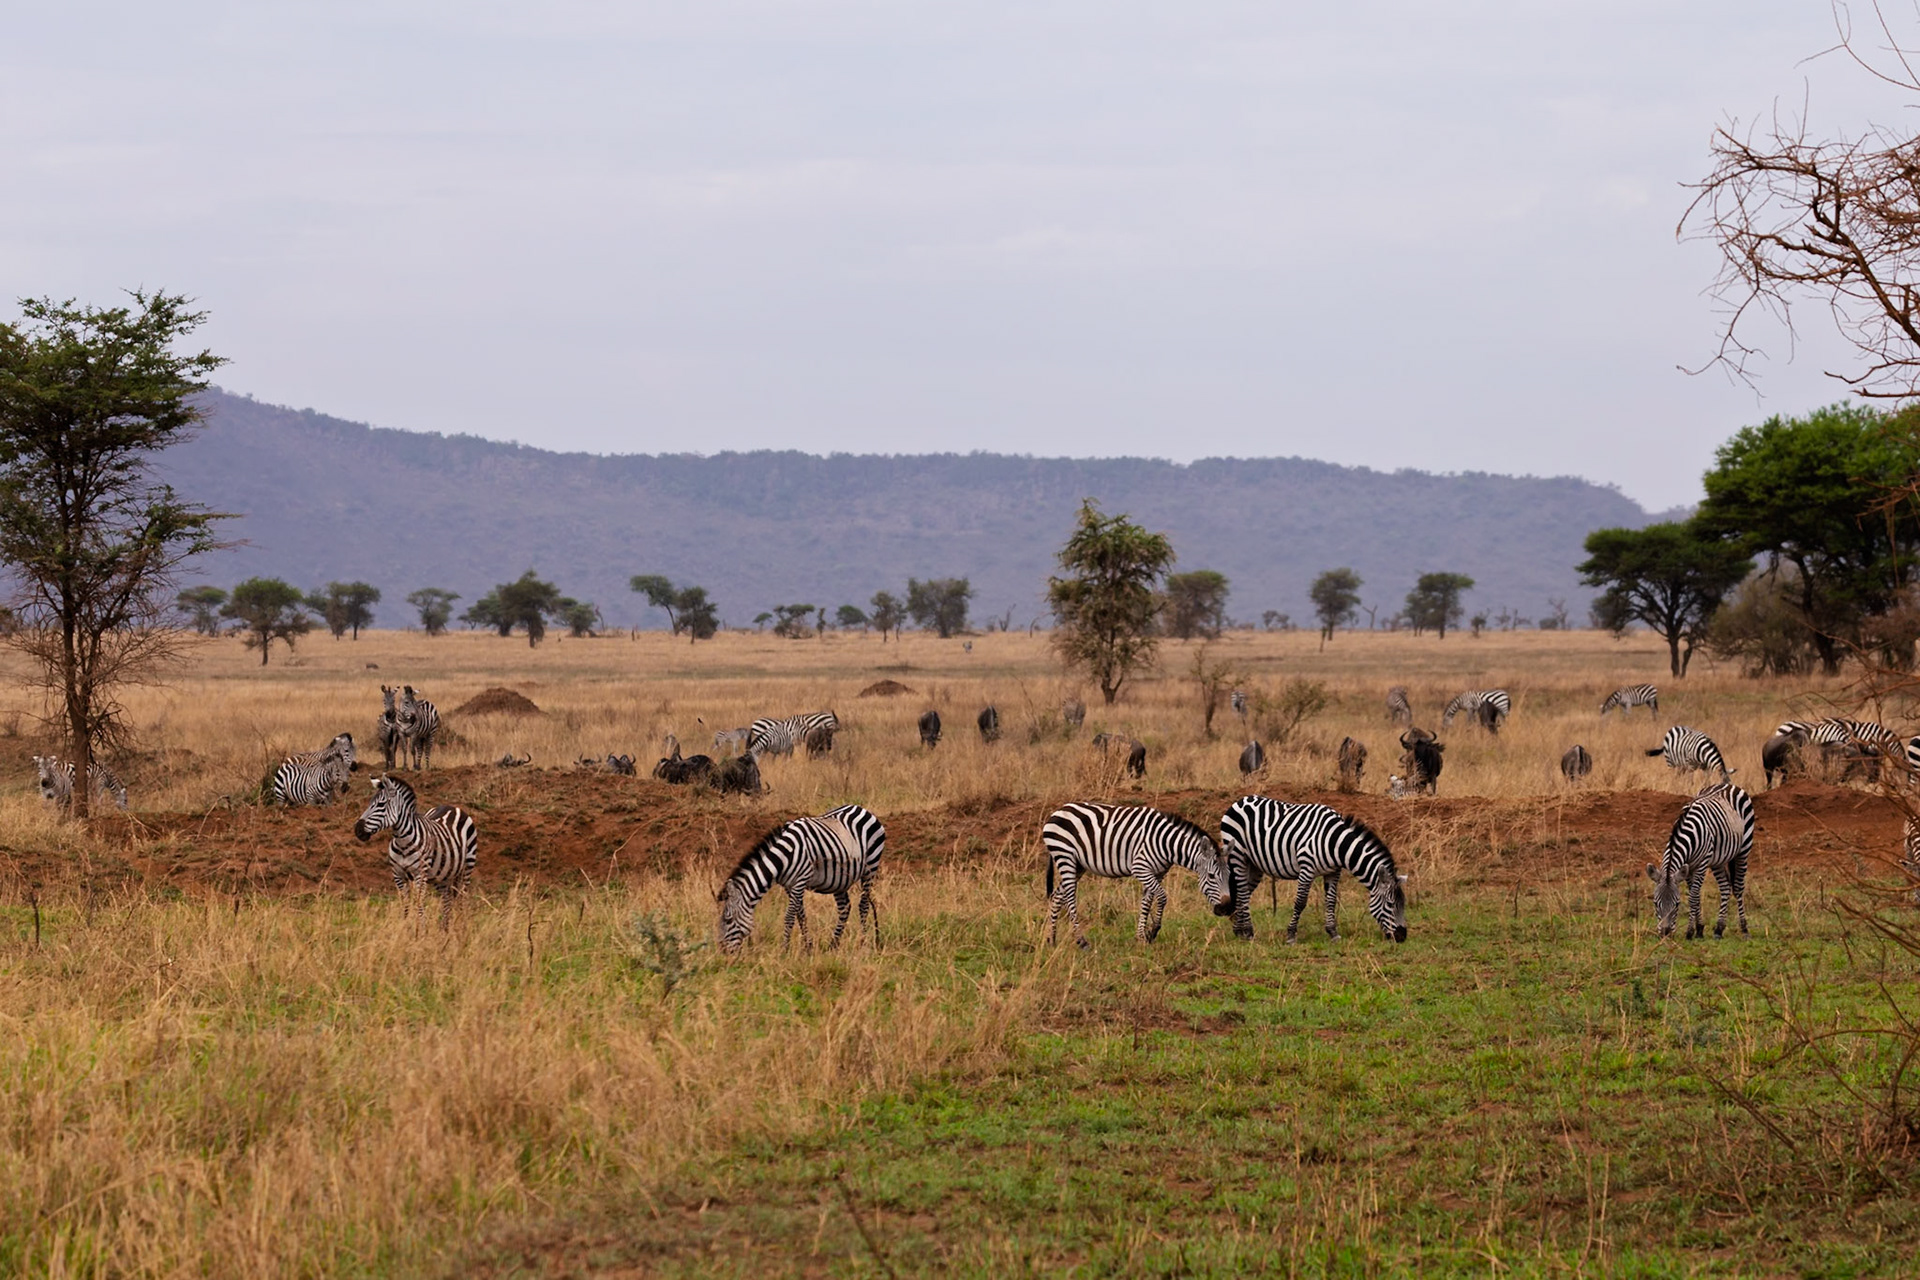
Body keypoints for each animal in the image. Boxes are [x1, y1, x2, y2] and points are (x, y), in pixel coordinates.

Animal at [353, 773, 478, 929]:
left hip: (467, 866)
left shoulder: (420, 874)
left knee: (462, 897)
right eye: (370, 803)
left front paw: (421, 931)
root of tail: (453, 807)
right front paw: (405, 928)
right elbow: (406, 905)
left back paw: (462, 927)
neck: (402, 843)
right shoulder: (398, 875)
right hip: (441, 875)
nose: (357, 830)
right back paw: (445, 929)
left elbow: (419, 904)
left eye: (381, 805)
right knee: (447, 899)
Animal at [716, 803, 885, 954]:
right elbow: (801, 915)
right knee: (844, 908)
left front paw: (784, 950)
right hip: (840, 878)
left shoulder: (800, 881)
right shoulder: (788, 886)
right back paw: (833, 946)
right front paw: (808, 947)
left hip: (870, 867)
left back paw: (862, 943)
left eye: (728, 920)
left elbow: (790, 916)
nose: (723, 952)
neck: (784, 856)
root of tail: (860, 808)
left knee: (863, 906)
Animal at [1041, 802, 1232, 947]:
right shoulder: (1140, 868)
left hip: (1078, 865)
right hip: (1065, 857)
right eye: (1211, 876)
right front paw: (1153, 931)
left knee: (1057, 896)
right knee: (1070, 897)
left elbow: (1147, 903)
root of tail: (1058, 810)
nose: (1225, 908)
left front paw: (1142, 937)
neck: (1166, 843)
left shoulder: (1157, 873)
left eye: (1229, 876)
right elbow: (1162, 897)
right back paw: (1081, 940)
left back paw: (1051, 939)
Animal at [1219, 796, 1407, 943]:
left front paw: (1333, 933)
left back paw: (1240, 931)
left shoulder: (1333, 872)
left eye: (1403, 905)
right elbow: (1300, 902)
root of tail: (1239, 800)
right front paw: (1291, 935)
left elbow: (1331, 901)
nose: (1402, 937)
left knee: (1244, 893)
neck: (1334, 842)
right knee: (1242, 891)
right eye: (1390, 904)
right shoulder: (1307, 868)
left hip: (1254, 864)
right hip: (1238, 855)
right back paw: (1249, 932)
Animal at [1647, 781, 1755, 939]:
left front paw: (1690, 931)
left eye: (1677, 904)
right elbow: (1696, 896)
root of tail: (1726, 784)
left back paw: (1744, 929)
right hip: (1718, 860)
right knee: (1725, 887)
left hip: (1743, 849)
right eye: (1655, 903)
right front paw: (1699, 929)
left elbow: (1693, 897)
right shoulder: (1688, 867)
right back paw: (1719, 929)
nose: (1665, 934)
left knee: (1738, 888)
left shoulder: (1702, 864)